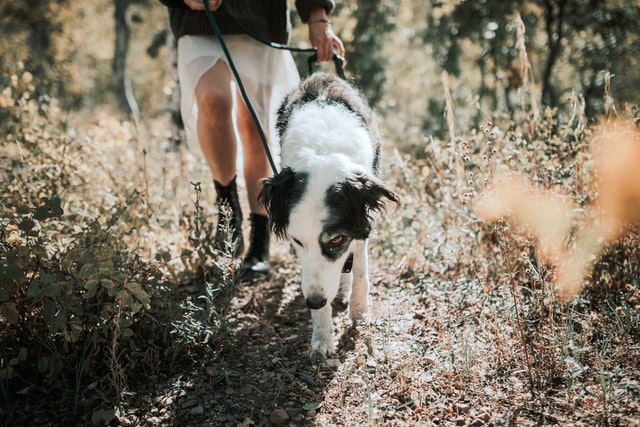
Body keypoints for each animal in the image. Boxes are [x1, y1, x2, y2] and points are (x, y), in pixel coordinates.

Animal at [258, 73, 398, 358]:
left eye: (335, 240)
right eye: (297, 241)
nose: (313, 302)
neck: (323, 153)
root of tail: (321, 76)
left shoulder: (359, 224)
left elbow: (360, 271)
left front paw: (359, 311)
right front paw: (322, 338)